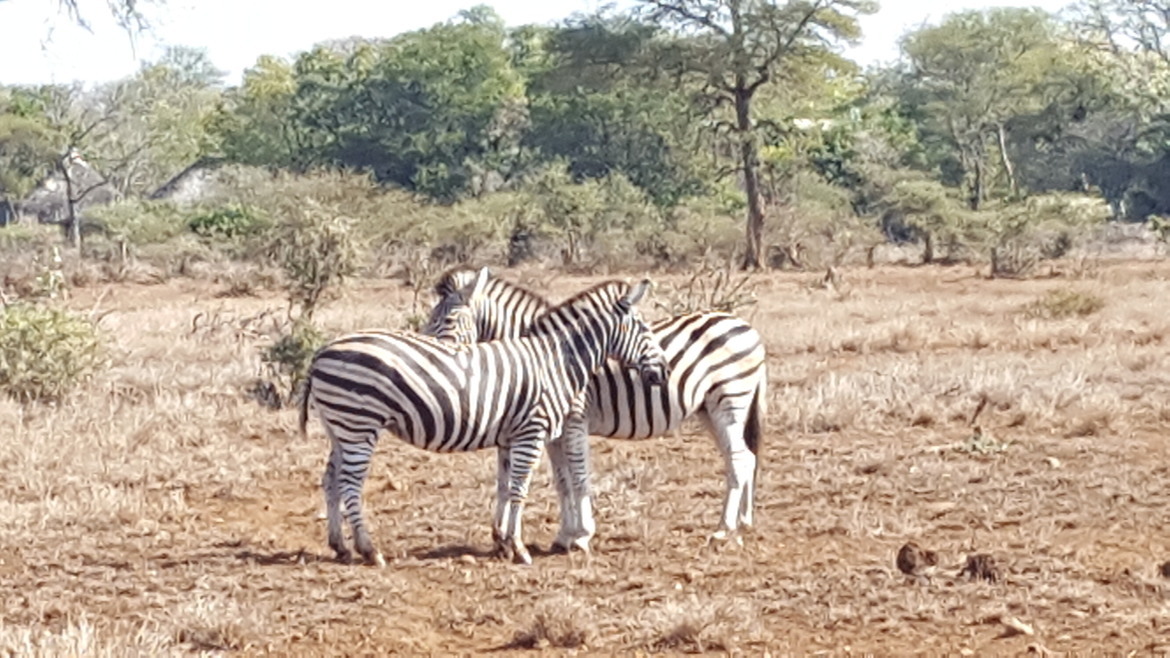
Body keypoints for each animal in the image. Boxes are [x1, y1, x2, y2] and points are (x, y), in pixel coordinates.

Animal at [299, 268, 668, 566]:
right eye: (643, 328)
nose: (663, 372)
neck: (553, 361)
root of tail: (321, 351)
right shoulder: (532, 431)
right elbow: (521, 489)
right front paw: (519, 548)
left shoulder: (510, 435)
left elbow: (505, 486)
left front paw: (503, 542)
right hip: (359, 425)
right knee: (350, 484)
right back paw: (369, 550)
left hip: (340, 427)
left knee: (331, 479)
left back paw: (340, 546)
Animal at [423, 267, 767, 552]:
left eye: (446, 320)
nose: (427, 355)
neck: (546, 356)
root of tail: (746, 326)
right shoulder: (551, 430)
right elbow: (561, 480)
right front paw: (565, 535)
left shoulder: (573, 420)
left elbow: (578, 474)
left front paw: (582, 535)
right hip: (709, 410)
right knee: (743, 458)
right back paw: (742, 524)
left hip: (730, 401)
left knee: (739, 460)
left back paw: (722, 531)